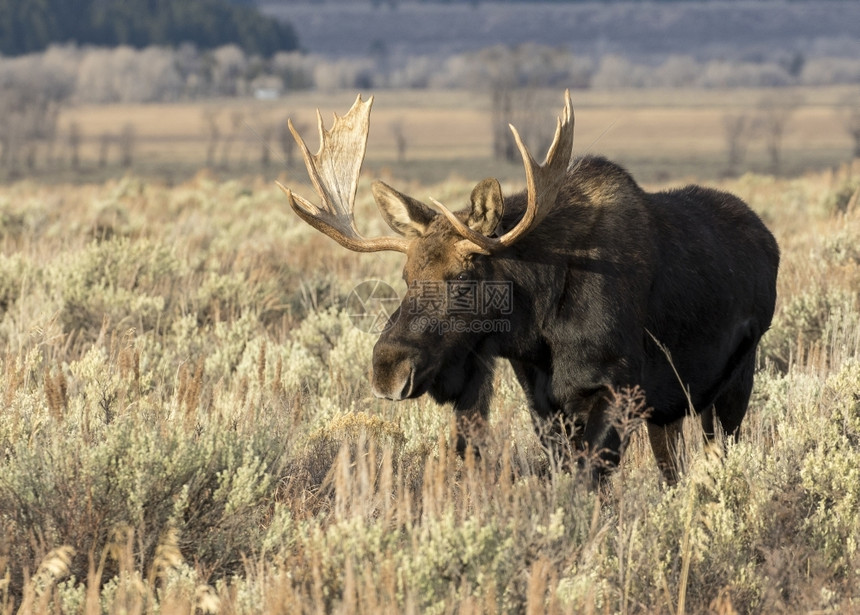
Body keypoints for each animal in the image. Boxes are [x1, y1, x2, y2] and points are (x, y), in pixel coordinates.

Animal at [280, 94, 780, 484]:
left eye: (462, 277)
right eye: (406, 276)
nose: (387, 367)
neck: (541, 324)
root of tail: (769, 240)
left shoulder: (618, 388)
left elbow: (586, 482)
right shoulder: (543, 399)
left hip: (733, 382)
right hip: (672, 408)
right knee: (673, 470)